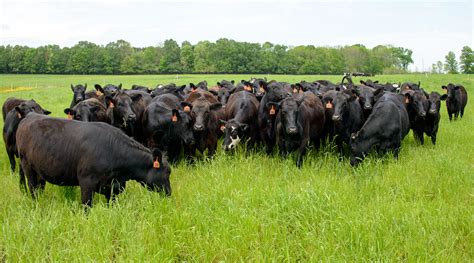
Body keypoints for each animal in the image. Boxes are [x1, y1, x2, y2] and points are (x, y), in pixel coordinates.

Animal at [15, 112, 171, 207]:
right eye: (167, 173)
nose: (169, 193)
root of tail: (30, 115)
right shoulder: (86, 183)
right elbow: (86, 207)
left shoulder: (112, 188)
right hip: (27, 166)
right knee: (32, 187)